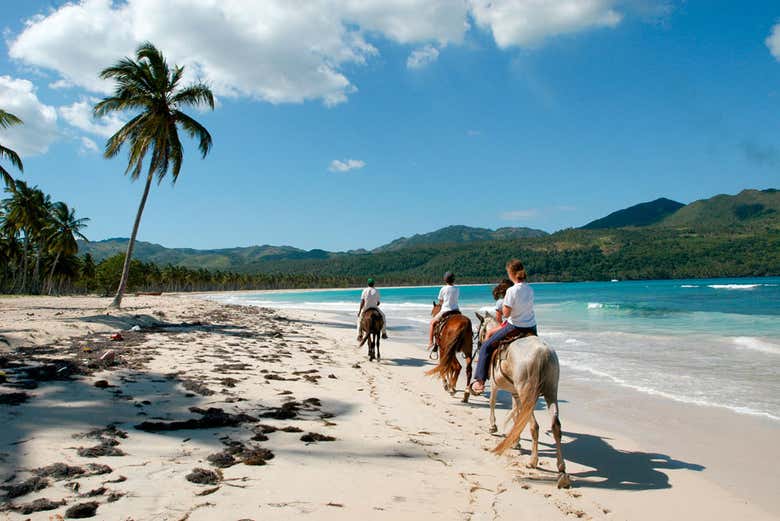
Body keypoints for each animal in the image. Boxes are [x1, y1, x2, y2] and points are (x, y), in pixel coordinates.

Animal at [472, 308, 568, 488]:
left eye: (478, 330)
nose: (480, 345)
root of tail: (543, 353)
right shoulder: (515, 393)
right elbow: (517, 415)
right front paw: (515, 441)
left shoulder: (496, 385)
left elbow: (493, 403)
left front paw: (493, 426)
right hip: (551, 392)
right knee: (556, 426)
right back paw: (561, 467)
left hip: (527, 394)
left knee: (534, 426)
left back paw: (533, 461)